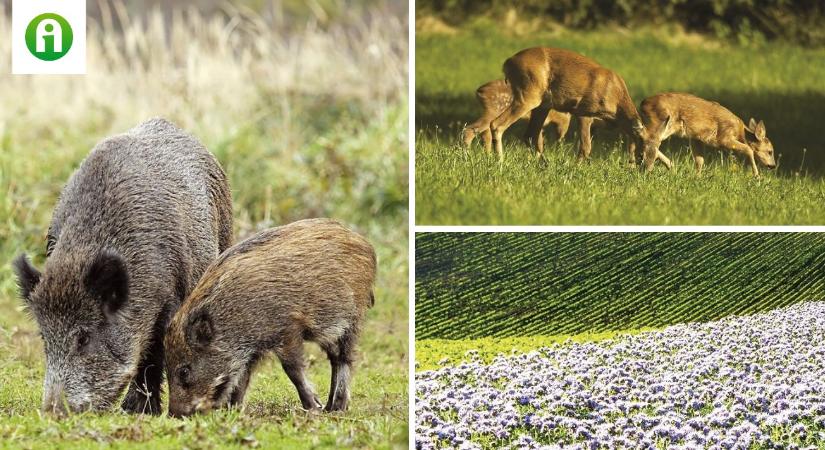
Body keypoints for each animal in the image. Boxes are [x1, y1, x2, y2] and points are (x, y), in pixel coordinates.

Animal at [490, 47, 668, 169]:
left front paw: (670, 166)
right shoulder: (584, 111)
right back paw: (500, 161)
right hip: (528, 95)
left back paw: (544, 164)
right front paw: (575, 168)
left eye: (653, 157)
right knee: (497, 125)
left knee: (529, 136)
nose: (646, 171)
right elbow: (586, 147)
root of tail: (507, 63)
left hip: (542, 105)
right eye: (641, 154)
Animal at [640, 92, 776, 176]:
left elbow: (700, 160)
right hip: (663, 122)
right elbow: (749, 149)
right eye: (770, 151)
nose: (773, 166)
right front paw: (757, 176)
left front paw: (697, 177)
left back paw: (669, 165)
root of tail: (643, 103)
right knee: (648, 138)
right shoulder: (724, 138)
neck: (740, 132)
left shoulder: (696, 138)